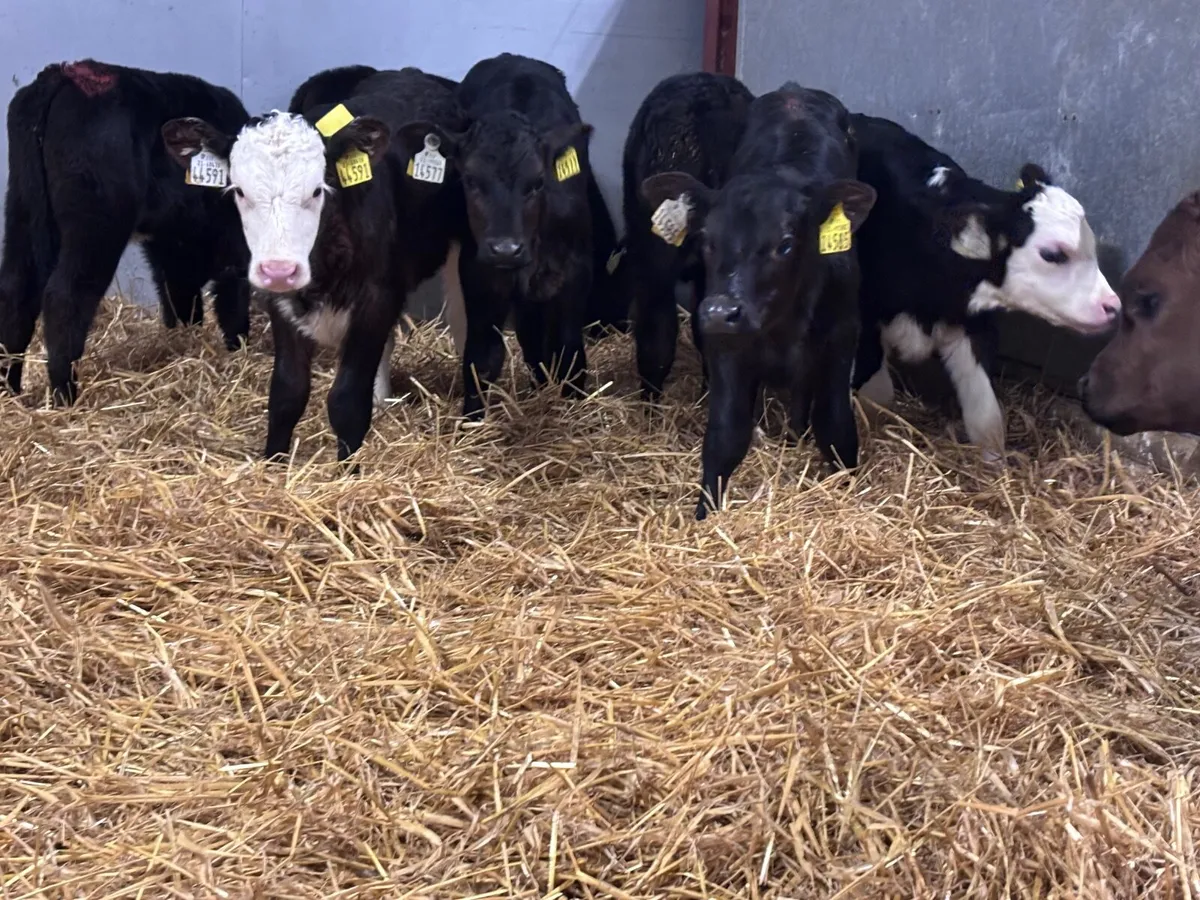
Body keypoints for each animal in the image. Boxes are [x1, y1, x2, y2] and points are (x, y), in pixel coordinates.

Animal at [0, 59, 251, 405]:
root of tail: (66, 73)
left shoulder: (166, 247)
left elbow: (178, 298)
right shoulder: (232, 243)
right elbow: (230, 298)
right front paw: (235, 351)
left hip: (22, 208)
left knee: (16, 292)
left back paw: (9, 389)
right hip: (97, 226)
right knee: (65, 296)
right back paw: (66, 397)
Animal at [162, 67, 468, 463]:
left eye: (318, 190)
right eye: (239, 190)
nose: (278, 269)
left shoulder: (376, 298)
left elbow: (346, 401)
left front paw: (348, 468)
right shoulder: (280, 303)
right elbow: (287, 392)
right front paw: (274, 462)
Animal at [396, 53, 619, 419]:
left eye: (538, 182)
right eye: (470, 180)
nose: (505, 249)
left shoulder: (575, 270)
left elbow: (570, 350)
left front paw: (574, 406)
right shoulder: (480, 275)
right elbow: (482, 357)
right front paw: (473, 420)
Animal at [642, 83, 877, 519]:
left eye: (785, 244)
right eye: (707, 240)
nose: (720, 311)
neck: (782, 327)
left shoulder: (841, 340)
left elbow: (837, 430)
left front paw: (848, 494)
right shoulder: (727, 349)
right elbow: (725, 438)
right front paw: (704, 517)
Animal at [848, 114, 1121, 460]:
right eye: (1052, 254)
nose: (1113, 306)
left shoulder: (973, 325)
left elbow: (986, 414)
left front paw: (993, 464)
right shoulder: (863, 321)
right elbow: (878, 396)